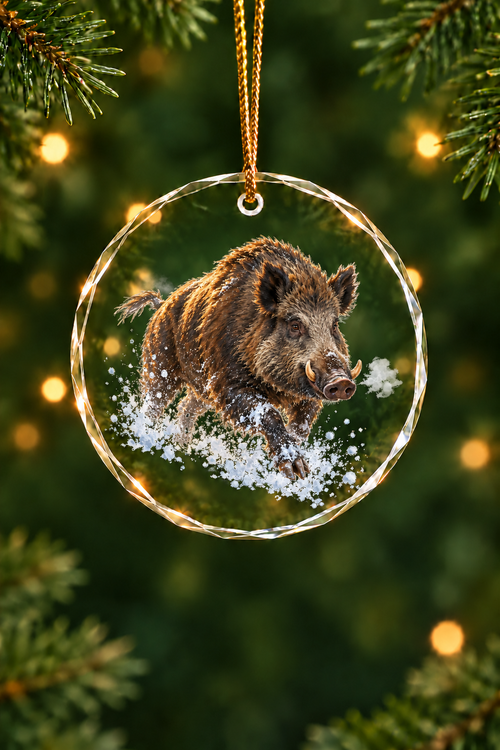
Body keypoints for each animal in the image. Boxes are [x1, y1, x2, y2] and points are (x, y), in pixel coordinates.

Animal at [115, 237, 361, 480]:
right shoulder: (227, 383)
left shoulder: (307, 395)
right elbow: (268, 412)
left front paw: (299, 468)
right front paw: (295, 471)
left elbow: (302, 426)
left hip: (202, 390)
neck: (276, 388)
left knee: (186, 407)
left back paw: (181, 446)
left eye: (334, 325)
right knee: (153, 402)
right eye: (294, 325)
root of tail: (161, 304)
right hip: (158, 364)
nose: (341, 382)